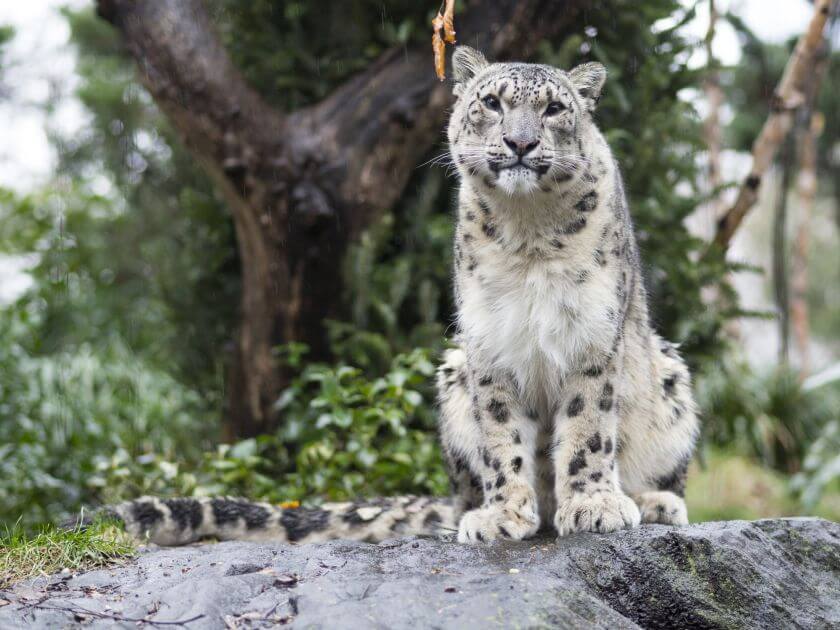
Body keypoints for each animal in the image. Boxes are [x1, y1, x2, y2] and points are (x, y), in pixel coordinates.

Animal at [80, 47, 696, 544]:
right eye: (491, 102)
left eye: (553, 109)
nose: (520, 143)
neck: (530, 234)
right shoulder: (490, 345)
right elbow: (503, 438)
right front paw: (503, 515)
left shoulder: (591, 335)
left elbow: (588, 429)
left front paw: (592, 505)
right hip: (452, 376)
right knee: (466, 489)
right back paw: (491, 511)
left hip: (671, 380)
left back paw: (652, 501)